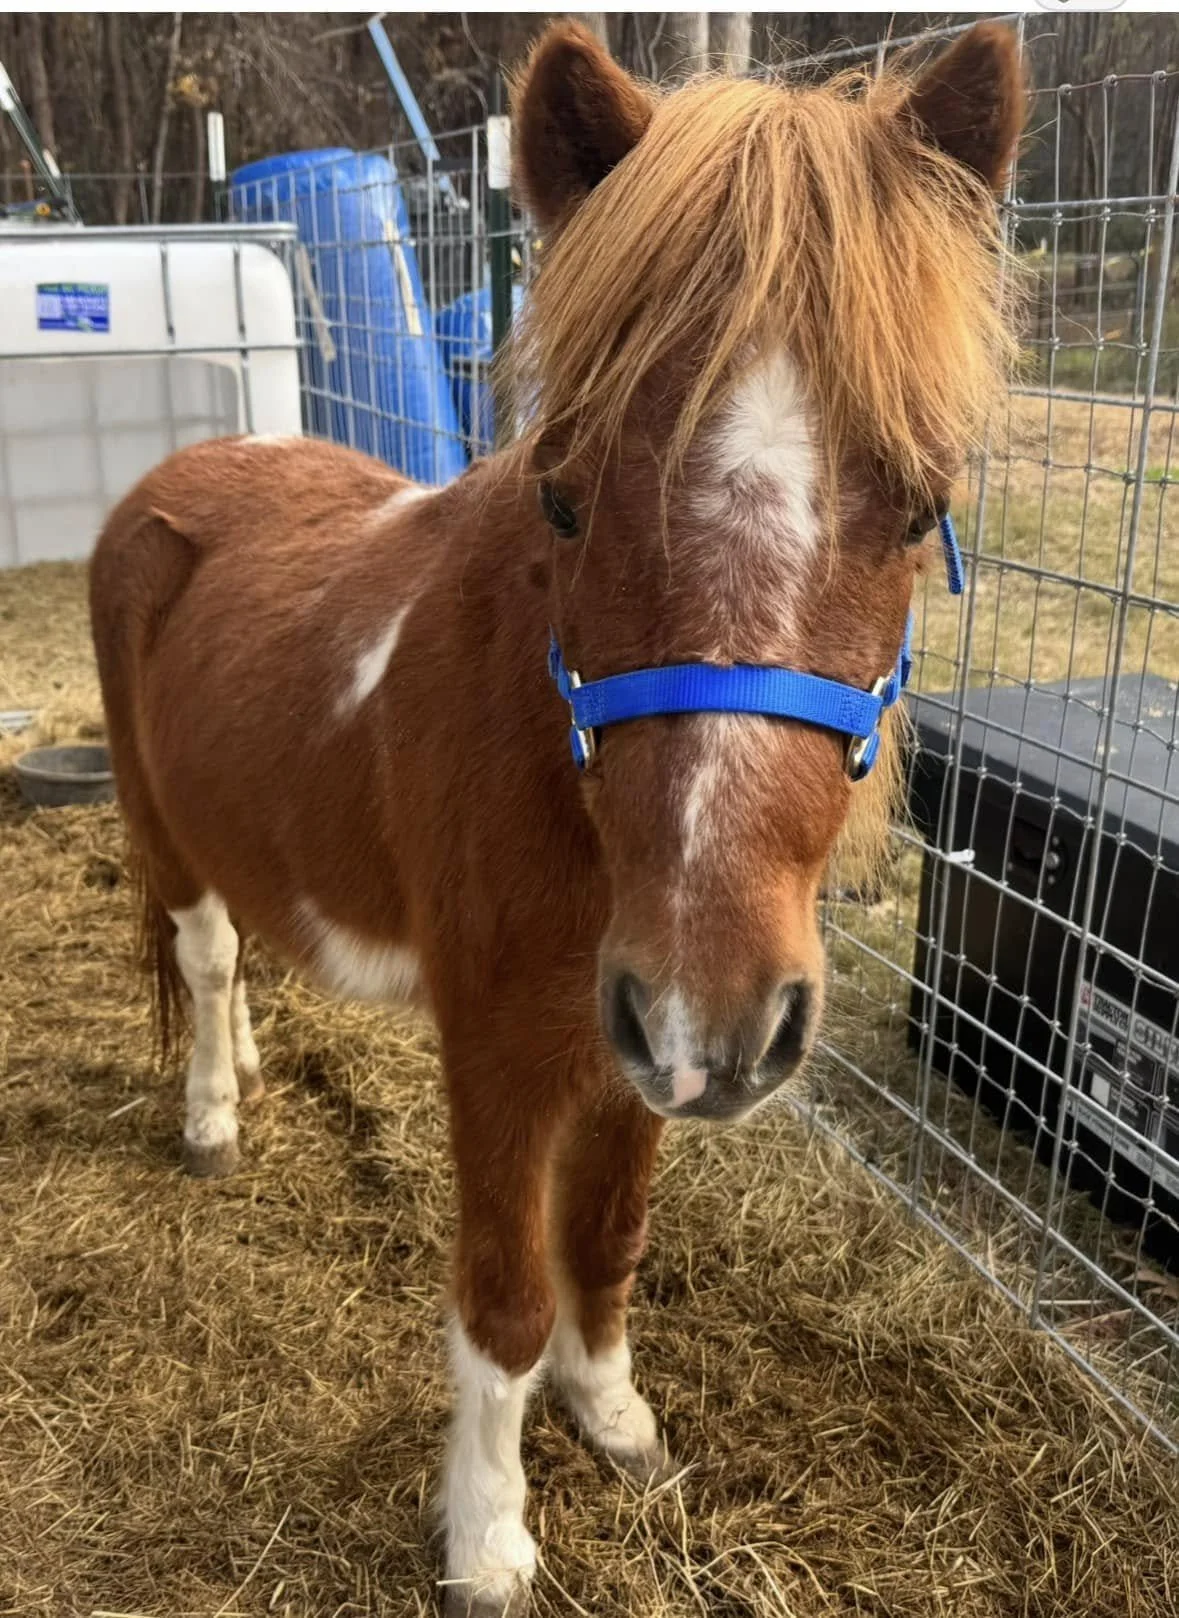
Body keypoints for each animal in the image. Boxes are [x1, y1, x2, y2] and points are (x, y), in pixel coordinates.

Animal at [89, 21, 1025, 1615]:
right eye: (569, 501)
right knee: (206, 956)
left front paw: (614, 1415)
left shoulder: (637, 1054)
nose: (717, 995)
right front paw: (487, 1532)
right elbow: (508, 1300)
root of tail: (185, 473)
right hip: (160, 827)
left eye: (916, 509)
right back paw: (213, 1112)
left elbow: (607, 1239)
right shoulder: (500, 1061)